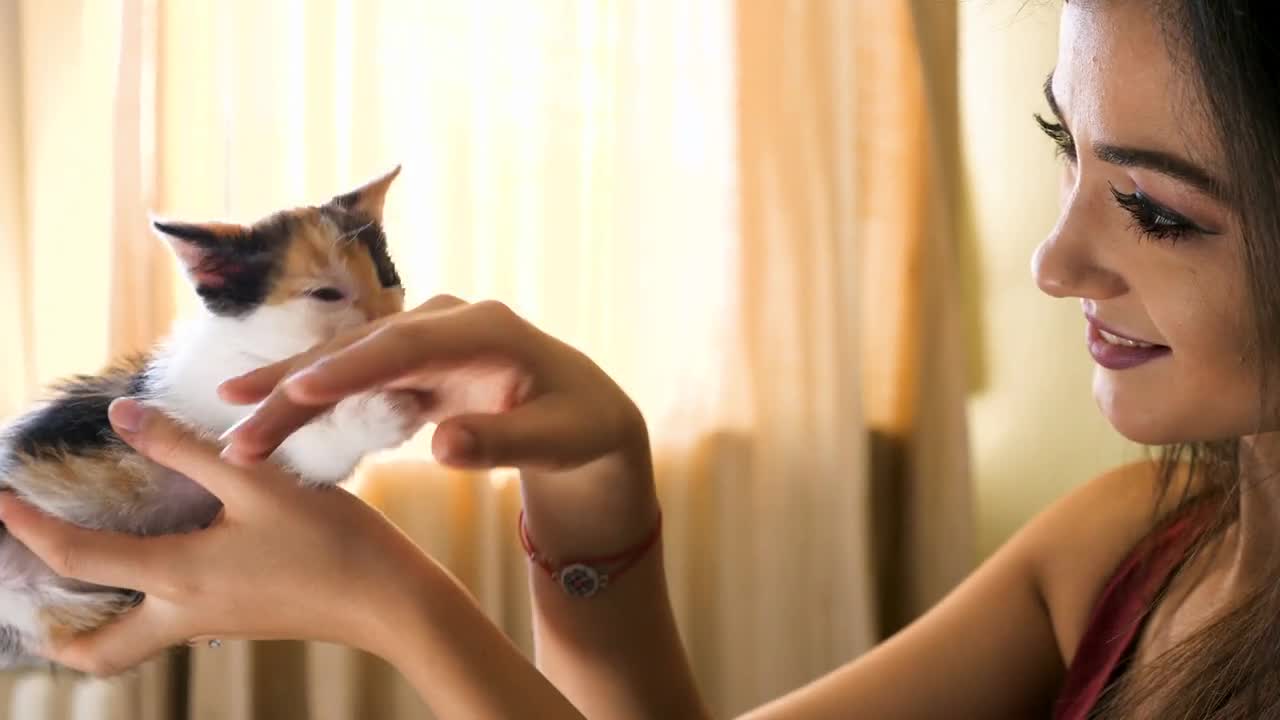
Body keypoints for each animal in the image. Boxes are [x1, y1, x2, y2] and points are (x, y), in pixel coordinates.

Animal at [0, 165, 417, 666]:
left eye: (389, 277)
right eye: (326, 294)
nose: (384, 322)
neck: (262, 352)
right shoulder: (215, 396)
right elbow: (301, 443)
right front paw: (382, 413)